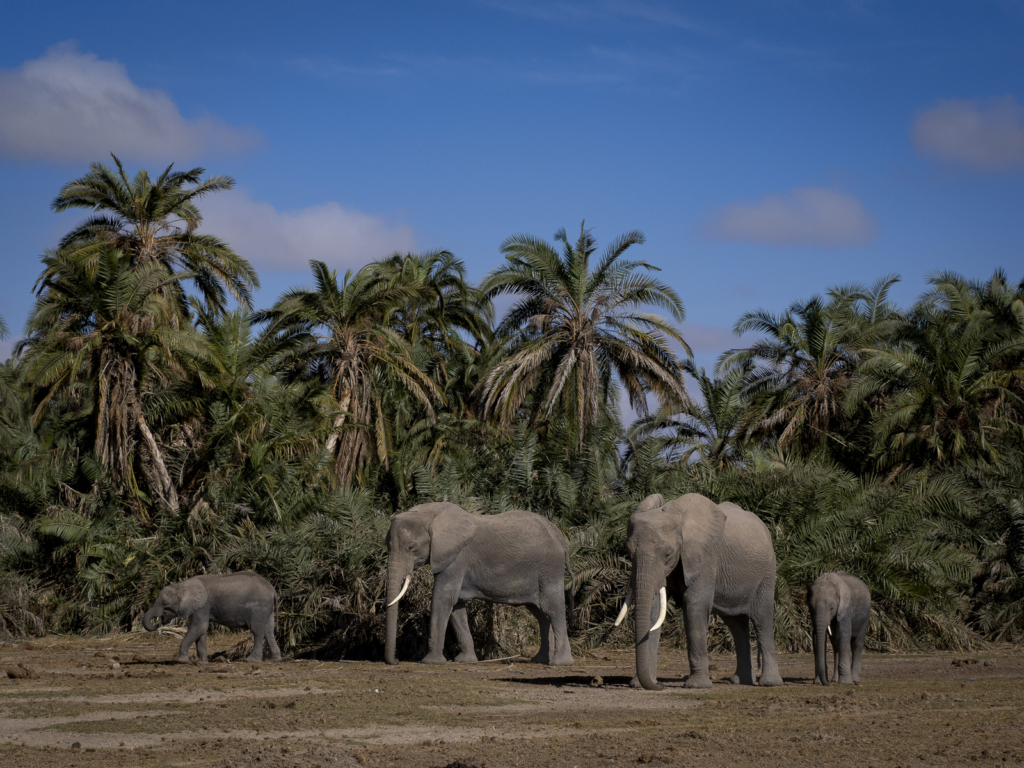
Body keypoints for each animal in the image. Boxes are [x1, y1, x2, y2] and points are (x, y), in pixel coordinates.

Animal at [142, 573, 282, 663]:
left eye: (165, 604)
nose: (158, 623)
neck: (182, 585)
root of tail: (272, 590)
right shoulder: (200, 607)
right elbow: (202, 630)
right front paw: (202, 663)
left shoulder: (203, 605)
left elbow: (199, 627)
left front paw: (181, 661)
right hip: (267, 608)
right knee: (269, 631)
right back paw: (274, 660)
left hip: (259, 607)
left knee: (257, 631)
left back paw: (251, 661)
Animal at [385, 505, 577, 667]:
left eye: (412, 547)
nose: (396, 660)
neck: (430, 513)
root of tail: (561, 539)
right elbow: (456, 605)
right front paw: (465, 661)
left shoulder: (455, 560)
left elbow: (442, 598)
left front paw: (430, 662)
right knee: (540, 613)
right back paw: (540, 660)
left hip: (549, 570)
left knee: (553, 609)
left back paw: (560, 663)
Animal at [614, 495, 782, 696]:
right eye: (629, 553)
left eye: (668, 554)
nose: (660, 685)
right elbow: (654, 611)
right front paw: (640, 684)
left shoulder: (705, 559)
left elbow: (694, 606)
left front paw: (696, 686)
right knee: (736, 624)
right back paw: (740, 681)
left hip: (767, 573)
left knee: (762, 619)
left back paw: (769, 683)